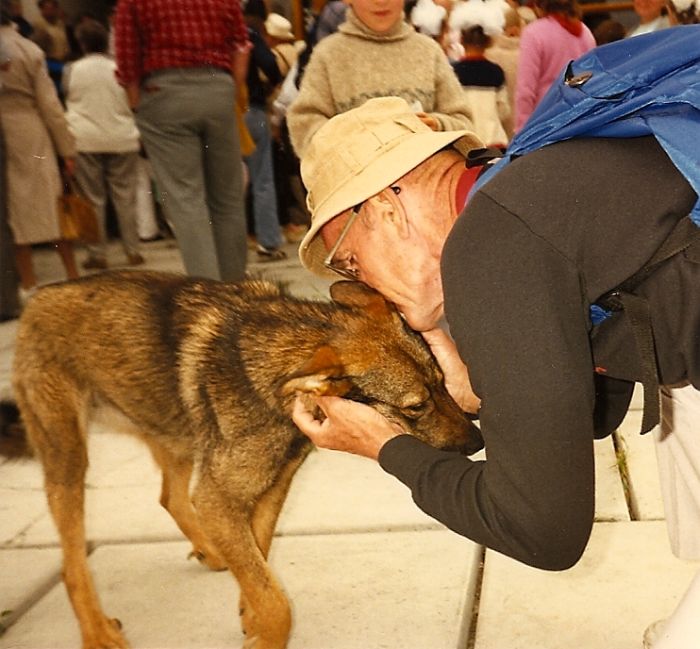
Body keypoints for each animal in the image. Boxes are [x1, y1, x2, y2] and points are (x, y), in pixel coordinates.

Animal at [10, 270, 484, 648]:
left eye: (443, 381)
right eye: (416, 406)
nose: (477, 438)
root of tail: (37, 298)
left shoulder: (273, 485)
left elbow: (260, 551)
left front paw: (248, 612)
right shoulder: (219, 498)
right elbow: (277, 603)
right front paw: (262, 627)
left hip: (174, 433)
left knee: (170, 497)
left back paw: (209, 551)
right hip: (69, 456)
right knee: (72, 564)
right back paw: (97, 631)